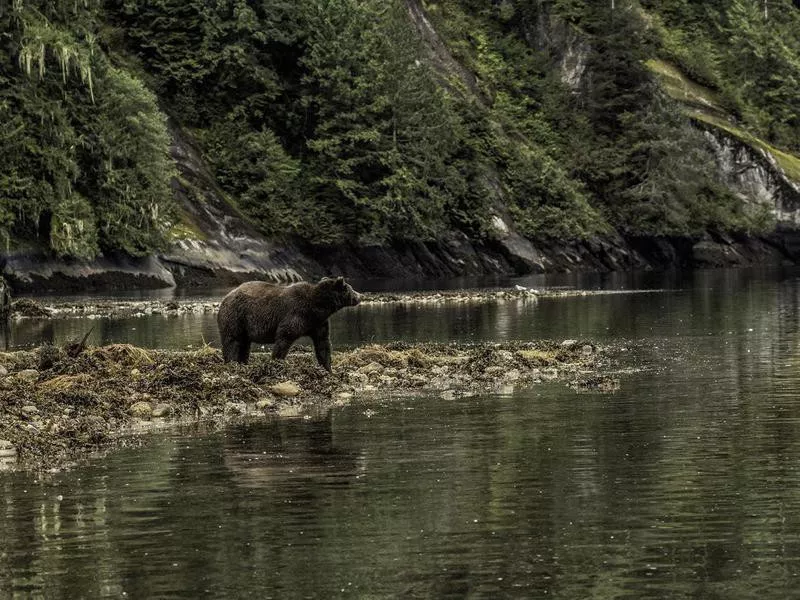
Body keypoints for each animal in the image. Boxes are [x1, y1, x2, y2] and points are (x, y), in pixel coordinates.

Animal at [216, 276, 360, 370]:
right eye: (351, 289)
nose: (360, 296)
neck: (318, 306)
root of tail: (225, 298)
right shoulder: (296, 314)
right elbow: (284, 337)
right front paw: (276, 361)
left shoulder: (318, 322)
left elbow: (323, 343)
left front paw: (327, 368)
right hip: (236, 315)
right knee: (232, 340)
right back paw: (232, 362)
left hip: (244, 324)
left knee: (244, 344)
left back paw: (243, 363)